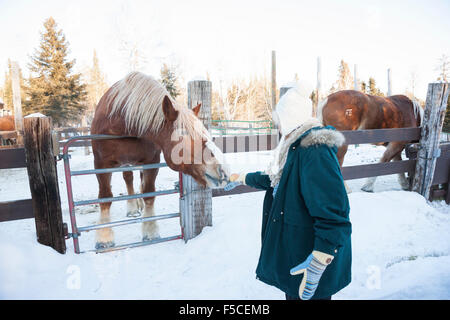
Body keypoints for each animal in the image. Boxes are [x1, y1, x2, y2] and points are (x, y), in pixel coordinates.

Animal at [92, 72, 230, 250]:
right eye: (183, 136)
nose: (223, 172)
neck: (123, 123)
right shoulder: (100, 164)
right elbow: (105, 197)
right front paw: (104, 238)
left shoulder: (151, 161)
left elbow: (149, 194)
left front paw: (150, 232)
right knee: (128, 178)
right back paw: (132, 208)